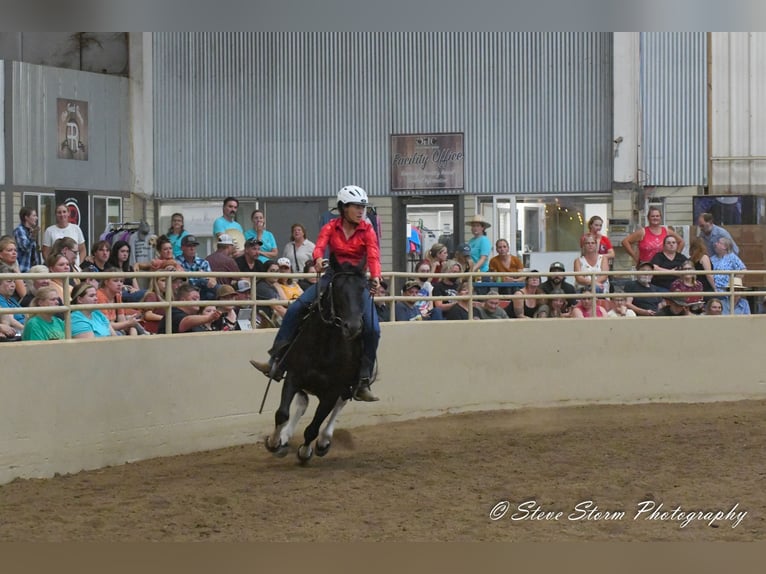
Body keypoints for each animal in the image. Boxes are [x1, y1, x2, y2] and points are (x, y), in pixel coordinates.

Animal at [266, 255, 370, 464]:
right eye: (336, 287)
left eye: (362, 288)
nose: (353, 327)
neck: (325, 344)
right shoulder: (293, 377)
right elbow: (282, 413)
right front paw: (274, 442)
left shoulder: (332, 391)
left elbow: (313, 428)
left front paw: (305, 452)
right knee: (303, 403)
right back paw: (285, 437)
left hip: (346, 386)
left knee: (340, 404)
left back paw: (323, 441)